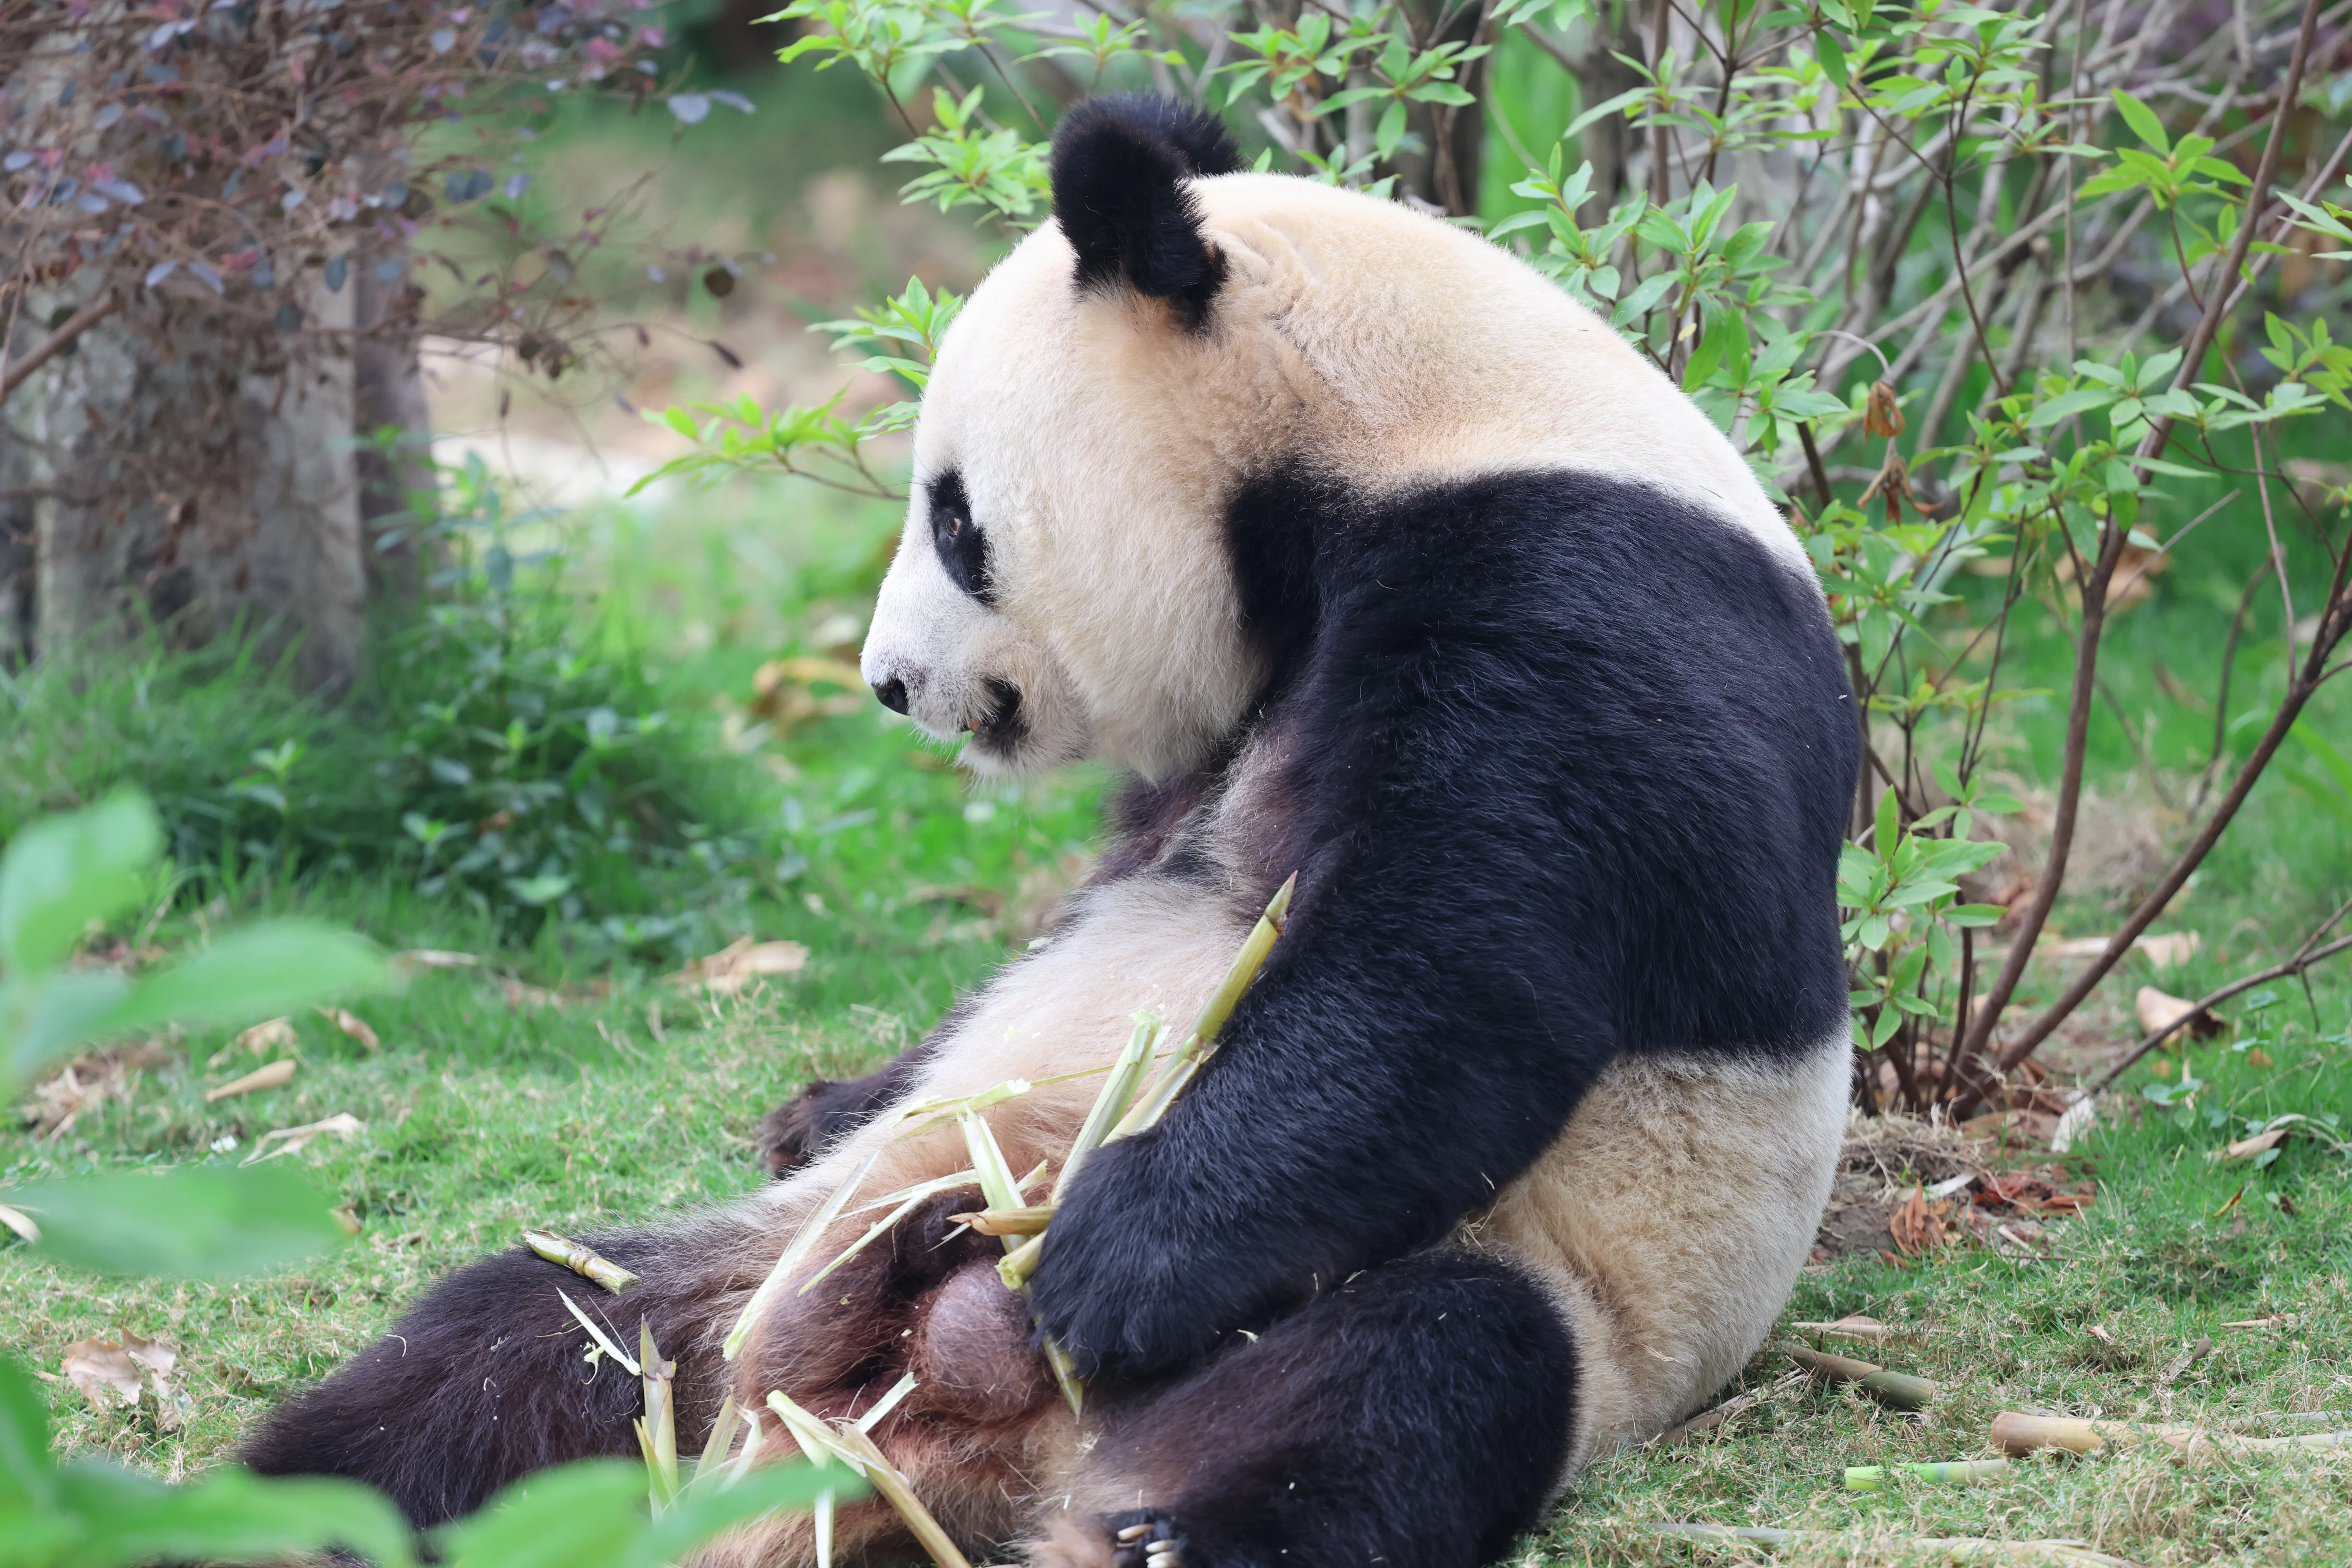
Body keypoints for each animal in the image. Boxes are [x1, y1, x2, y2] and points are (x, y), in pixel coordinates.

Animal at [244, 94, 1859, 1568]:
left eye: (958, 521)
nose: (889, 681)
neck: (1413, 419)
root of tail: (943, 1423)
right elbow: (1102, 897)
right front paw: (822, 1097)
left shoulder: (1579, 595)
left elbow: (1449, 976)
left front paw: (1105, 1258)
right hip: (742, 1278)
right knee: (519, 1341)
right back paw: (291, 1498)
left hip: (1513, 1280)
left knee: (1409, 1374)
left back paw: (1140, 1495)